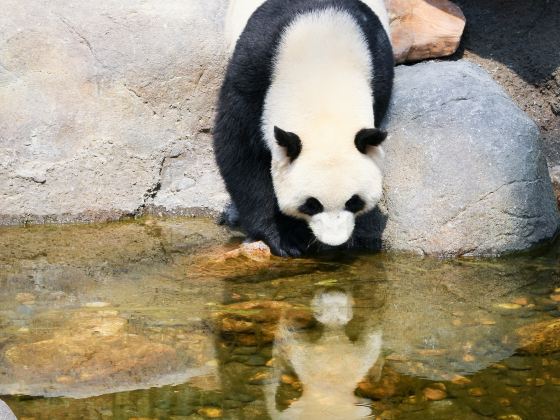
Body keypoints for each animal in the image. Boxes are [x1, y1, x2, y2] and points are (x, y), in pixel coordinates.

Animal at [214, 0, 394, 256]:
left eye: (353, 201)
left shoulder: (378, 70)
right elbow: (239, 150)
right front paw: (282, 237)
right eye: (311, 205)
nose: (334, 241)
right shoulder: (254, 70)